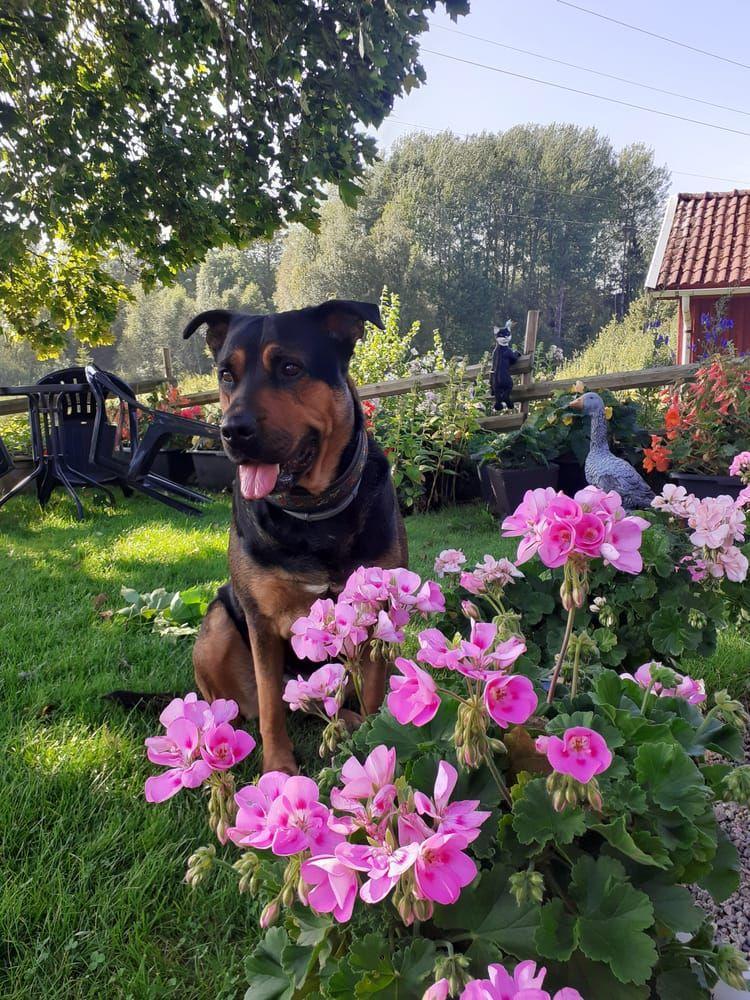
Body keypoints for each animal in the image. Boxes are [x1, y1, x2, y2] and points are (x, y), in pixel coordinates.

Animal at [181, 300, 406, 776]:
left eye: (289, 368)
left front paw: (375, 739)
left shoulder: (374, 610)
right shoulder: (261, 623)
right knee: (246, 706)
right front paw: (278, 770)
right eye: (226, 375)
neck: (313, 511)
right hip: (216, 627)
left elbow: (374, 690)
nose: (232, 430)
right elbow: (269, 706)